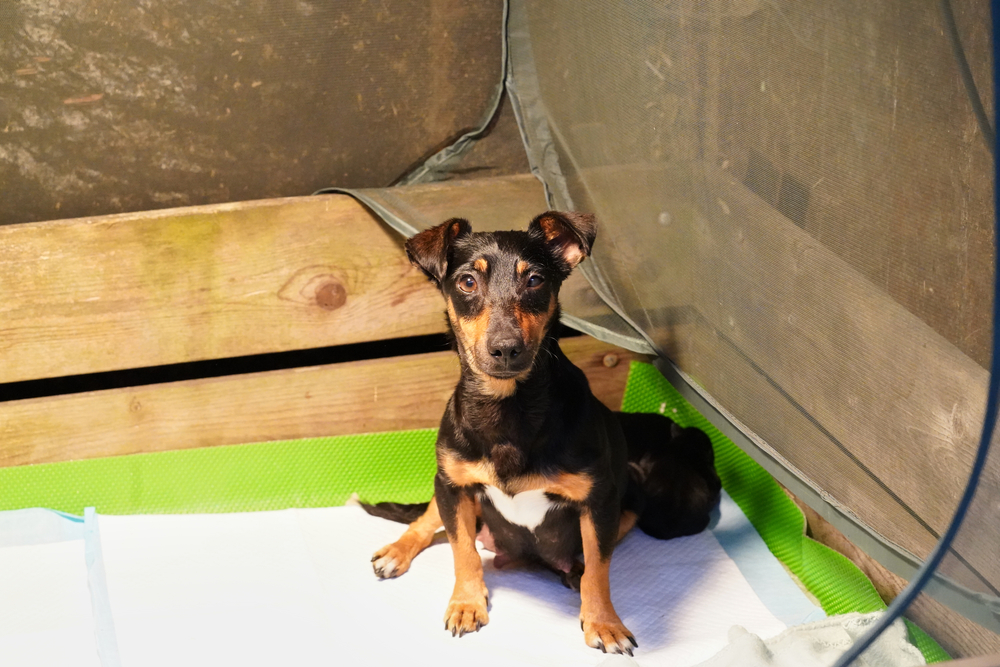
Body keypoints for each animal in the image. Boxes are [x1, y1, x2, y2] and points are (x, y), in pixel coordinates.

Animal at [368, 214, 720, 656]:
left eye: (535, 279)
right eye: (467, 281)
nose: (505, 349)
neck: (507, 407)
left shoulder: (600, 499)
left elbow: (599, 569)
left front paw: (604, 623)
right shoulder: (454, 485)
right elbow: (462, 551)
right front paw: (466, 604)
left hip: (630, 500)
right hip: (446, 487)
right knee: (428, 520)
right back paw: (397, 552)